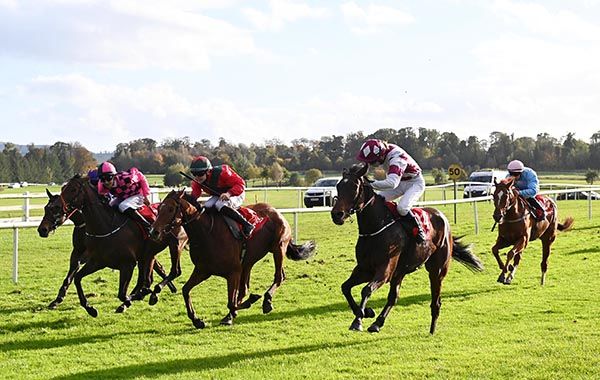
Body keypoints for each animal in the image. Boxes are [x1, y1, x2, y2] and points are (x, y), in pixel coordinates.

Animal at [37, 187, 176, 308]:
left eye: (56, 208)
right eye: (46, 208)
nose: (42, 230)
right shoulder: (78, 253)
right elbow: (70, 276)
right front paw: (57, 300)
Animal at [58, 176, 188, 318]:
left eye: (73, 189)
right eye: (63, 188)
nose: (59, 206)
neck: (106, 227)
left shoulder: (127, 264)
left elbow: (122, 294)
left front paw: (138, 297)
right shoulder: (97, 262)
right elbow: (77, 278)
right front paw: (90, 308)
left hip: (175, 245)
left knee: (173, 272)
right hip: (146, 255)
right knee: (146, 279)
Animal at [149, 191, 316, 328]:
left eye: (171, 209)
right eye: (158, 209)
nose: (153, 232)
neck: (207, 233)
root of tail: (276, 212)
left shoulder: (233, 272)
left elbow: (231, 302)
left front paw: (249, 302)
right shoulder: (203, 270)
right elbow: (186, 290)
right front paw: (197, 320)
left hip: (278, 248)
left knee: (279, 277)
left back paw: (267, 301)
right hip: (248, 261)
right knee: (245, 288)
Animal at [328, 165, 482, 334]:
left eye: (354, 187)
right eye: (338, 186)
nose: (337, 214)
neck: (375, 229)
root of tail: (441, 216)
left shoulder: (385, 270)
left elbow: (366, 290)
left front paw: (358, 320)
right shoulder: (364, 269)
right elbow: (345, 287)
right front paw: (365, 312)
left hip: (437, 270)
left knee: (435, 301)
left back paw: (432, 329)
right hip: (400, 272)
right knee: (393, 297)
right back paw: (377, 323)